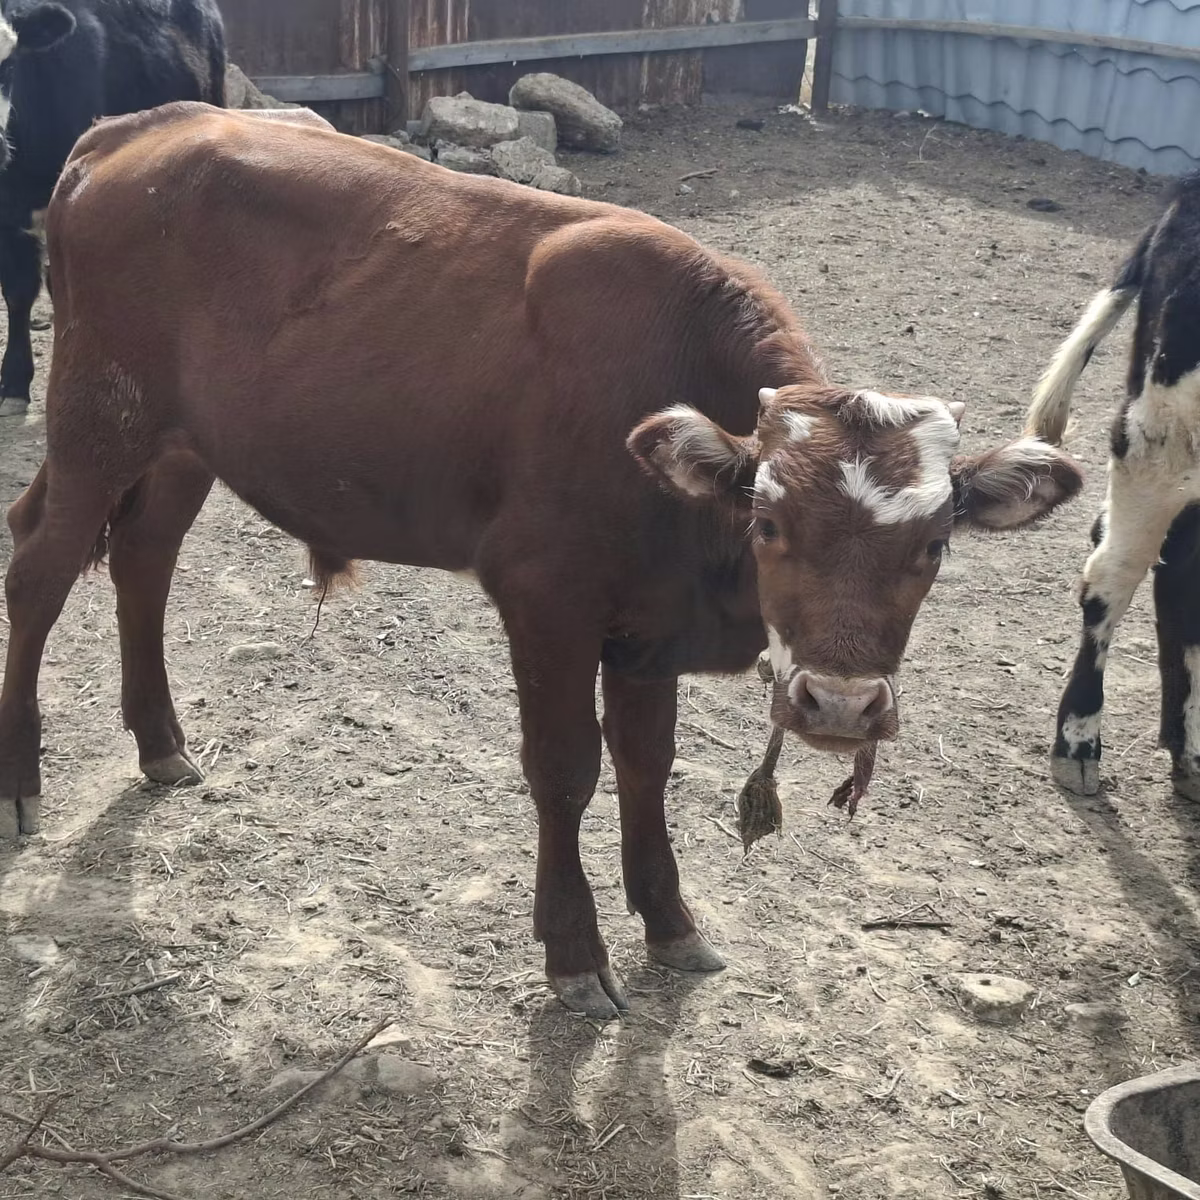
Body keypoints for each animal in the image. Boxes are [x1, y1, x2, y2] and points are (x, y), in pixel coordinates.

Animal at [0, 103, 1083, 1018]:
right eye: (769, 523)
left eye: (934, 546)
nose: (843, 707)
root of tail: (139, 127)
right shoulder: (546, 598)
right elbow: (565, 768)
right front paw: (573, 951)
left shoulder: (649, 625)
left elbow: (647, 764)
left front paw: (671, 921)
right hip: (99, 417)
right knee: (40, 573)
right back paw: (20, 778)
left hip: (186, 444)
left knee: (143, 561)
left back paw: (159, 742)